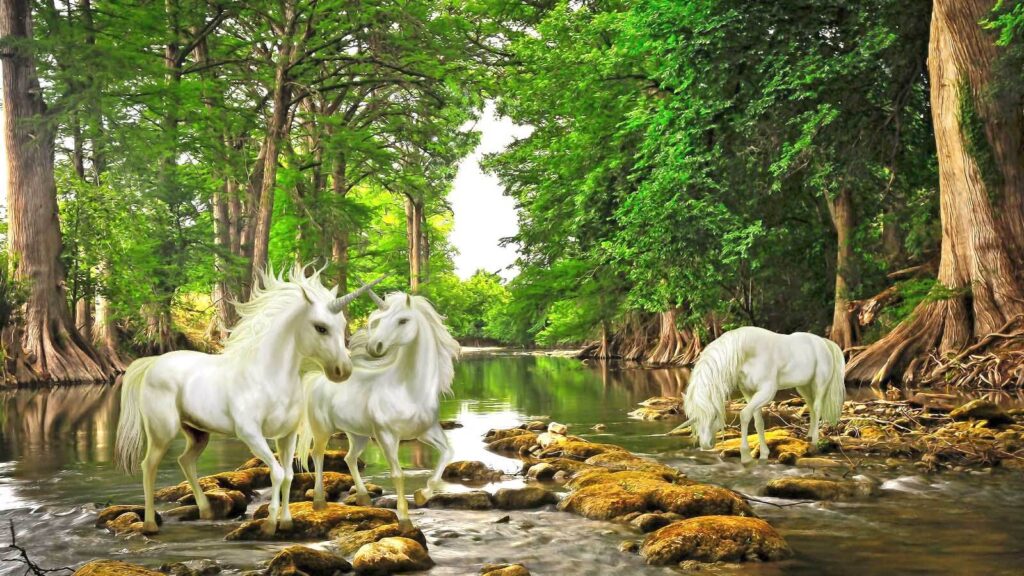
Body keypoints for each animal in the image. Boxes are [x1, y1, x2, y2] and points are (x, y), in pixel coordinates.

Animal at [115, 265, 382, 535]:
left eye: (342, 324)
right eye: (320, 327)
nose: (343, 371)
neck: (269, 377)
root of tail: (153, 363)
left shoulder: (287, 436)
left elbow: (288, 475)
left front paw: (285, 522)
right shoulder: (251, 434)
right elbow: (277, 473)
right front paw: (270, 525)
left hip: (197, 433)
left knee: (185, 460)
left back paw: (207, 511)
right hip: (162, 432)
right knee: (149, 465)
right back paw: (150, 524)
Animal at [297, 288, 460, 529]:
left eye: (403, 320)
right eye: (380, 320)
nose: (374, 347)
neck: (409, 389)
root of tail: (318, 379)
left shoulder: (427, 432)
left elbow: (447, 454)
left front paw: (422, 495)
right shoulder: (387, 436)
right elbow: (398, 474)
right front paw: (405, 520)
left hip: (358, 435)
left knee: (349, 458)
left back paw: (364, 497)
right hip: (322, 430)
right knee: (317, 455)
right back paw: (319, 502)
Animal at [673, 326, 846, 463]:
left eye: (715, 415)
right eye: (694, 418)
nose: (705, 444)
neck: (746, 354)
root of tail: (824, 342)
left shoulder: (766, 391)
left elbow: (744, 415)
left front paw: (746, 456)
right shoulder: (750, 393)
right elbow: (758, 422)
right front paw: (763, 454)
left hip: (819, 384)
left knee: (816, 408)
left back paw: (815, 443)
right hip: (803, 386)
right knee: (810, 407)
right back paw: (808, 437)